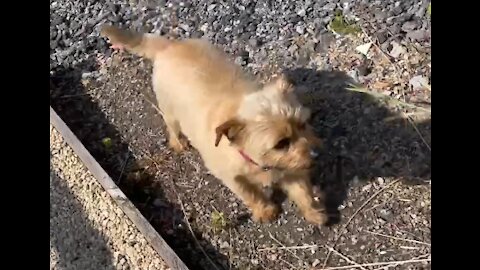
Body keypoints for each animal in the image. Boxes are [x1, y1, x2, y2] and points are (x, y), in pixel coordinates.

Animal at [101, 25, 330, 225]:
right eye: (281, 143)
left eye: (304, 124)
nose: (317, 154)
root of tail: (170, 46)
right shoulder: (231, 177)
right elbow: (250, 193)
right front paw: (265, 210)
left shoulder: (293, 169)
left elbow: (303, 191)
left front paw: (314, 212)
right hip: (170, 111)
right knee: (172, 128)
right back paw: (179, 143)